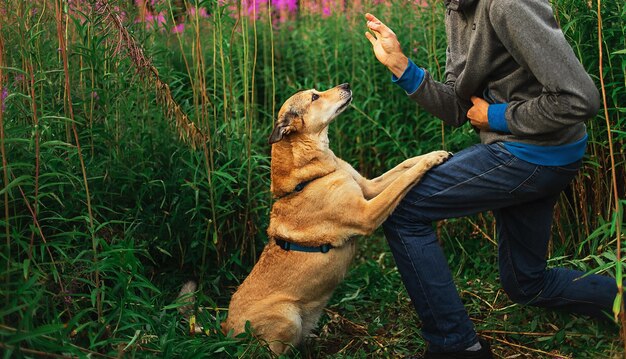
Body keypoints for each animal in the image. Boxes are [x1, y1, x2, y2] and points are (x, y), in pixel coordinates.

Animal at [185, 83, 448, 354]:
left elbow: (404, 166)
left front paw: (433, 152)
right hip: (287, 317)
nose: (346, 85)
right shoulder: (367, 213)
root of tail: (225, 327)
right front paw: (432, 160)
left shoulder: (368, 187)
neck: (311, 174)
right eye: (314, 97)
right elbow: (404, 179)